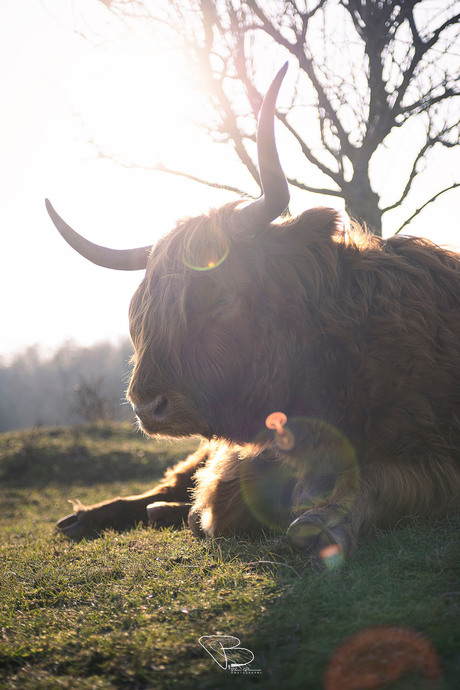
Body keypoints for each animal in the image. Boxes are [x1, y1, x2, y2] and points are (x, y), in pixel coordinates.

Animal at [47, 64, 460, 556]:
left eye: (221, 295)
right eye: (140, 310)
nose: (147, 405)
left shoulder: (438, 459)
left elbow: (376, 480)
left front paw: (322, 521)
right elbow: (223, 499)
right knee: (170, 482)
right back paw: (87, 517)